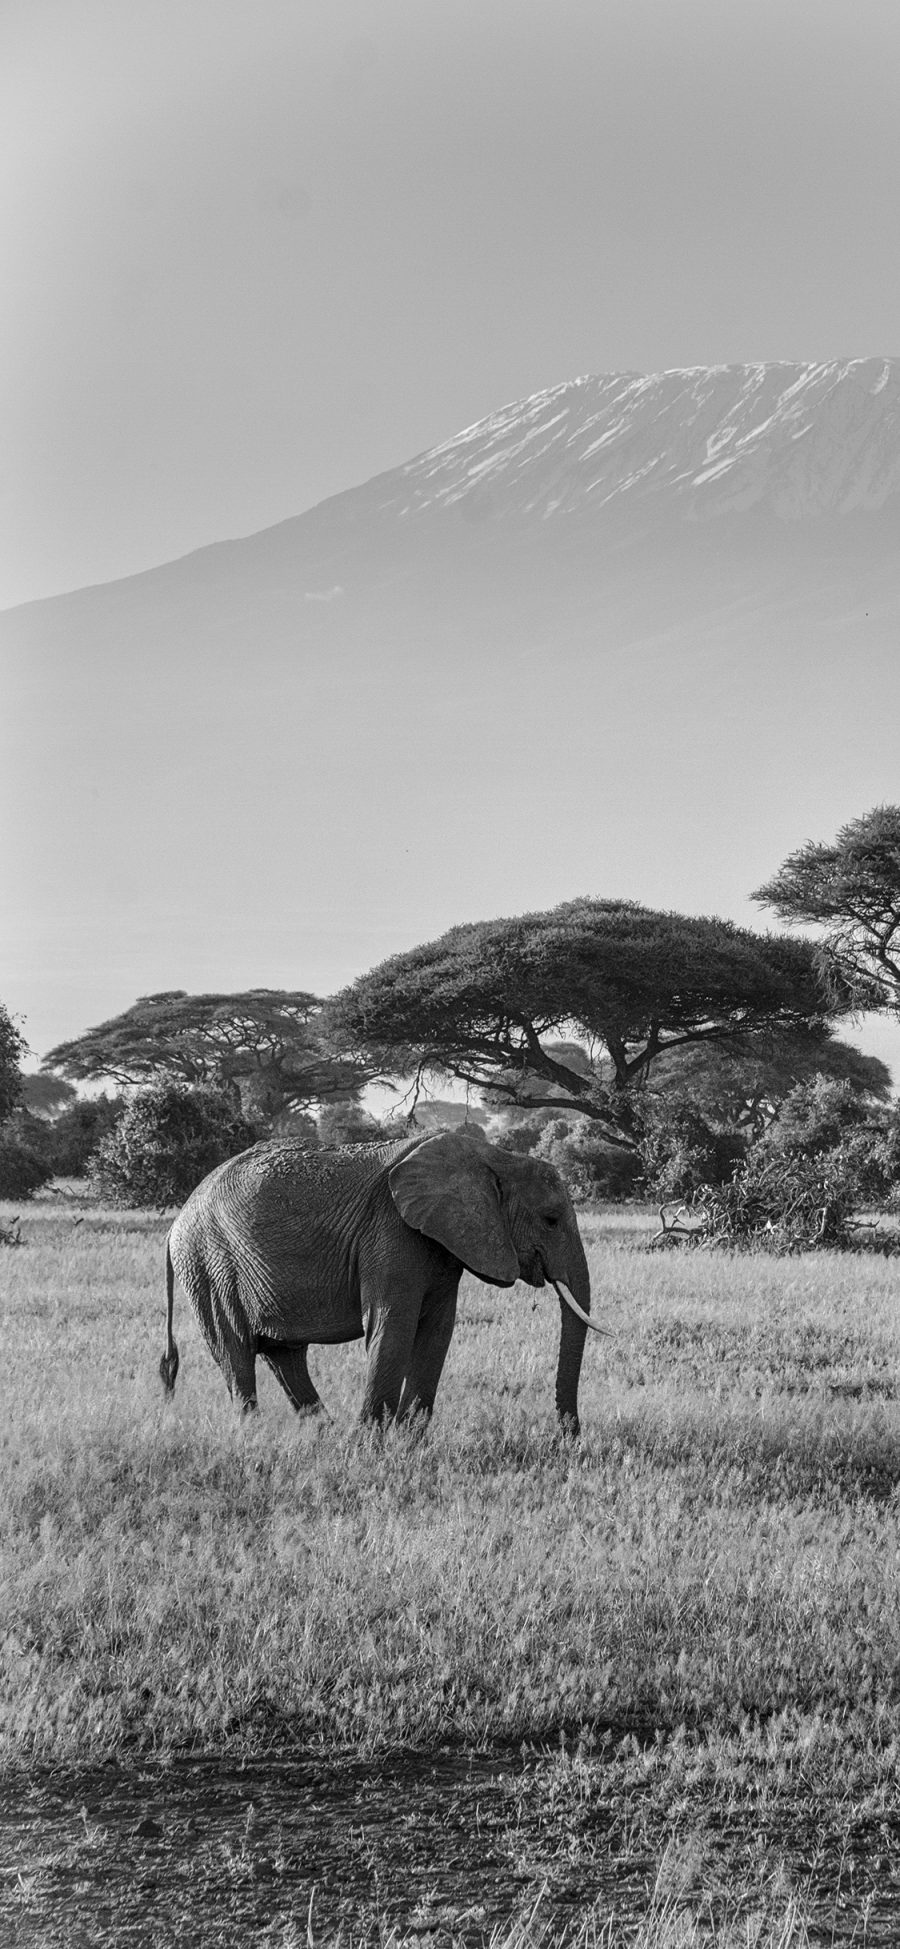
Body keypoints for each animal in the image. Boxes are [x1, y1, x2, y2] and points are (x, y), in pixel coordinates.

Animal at [159, 1130, 603, 1434]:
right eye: (551, 1219)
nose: (567, 1435)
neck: (492, 1156)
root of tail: (176, 1223)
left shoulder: (442, 1243)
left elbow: (436, 1332)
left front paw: (409, 1441)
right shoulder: (391, 1233)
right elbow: (393, 1327)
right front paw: (370, 1447)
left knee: (284, 1356)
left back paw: (323, 1433)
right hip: (209, 1264)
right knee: (235, 1351)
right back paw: (255, 1435)